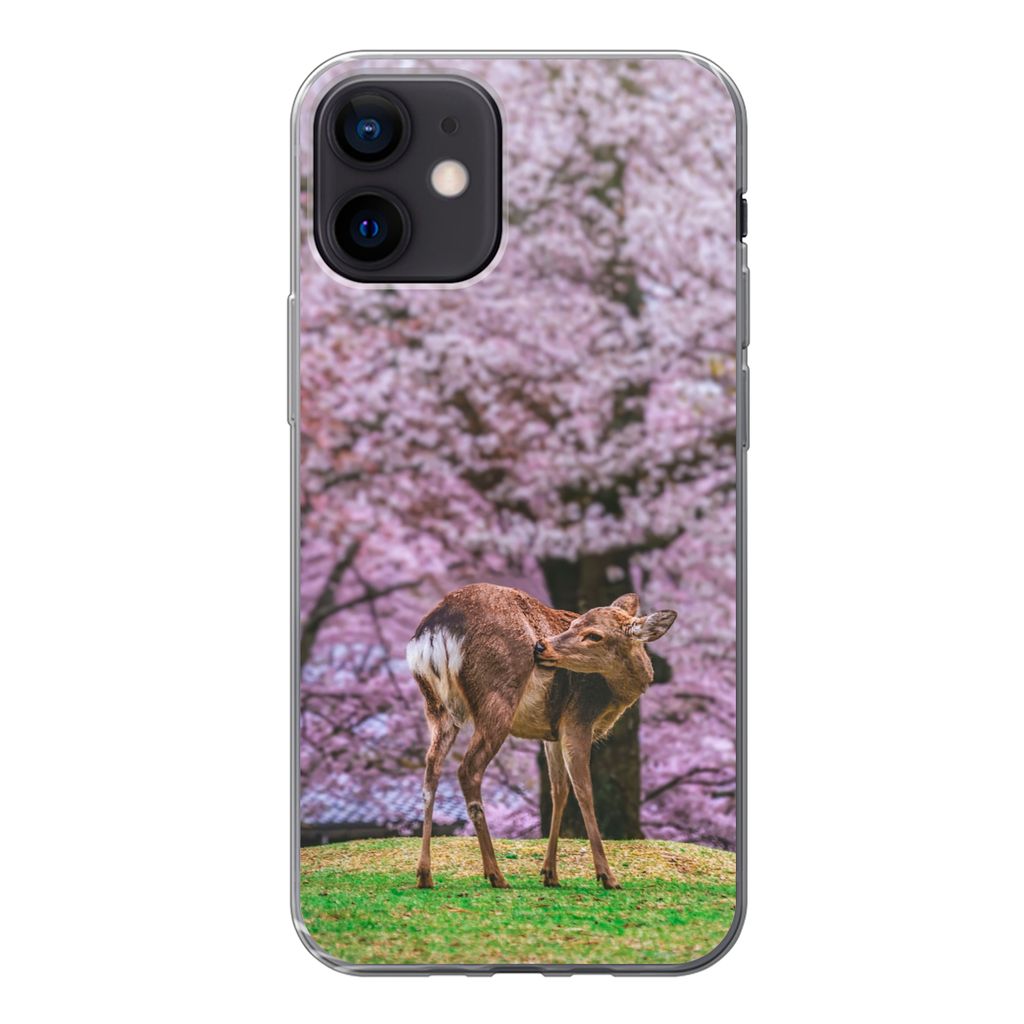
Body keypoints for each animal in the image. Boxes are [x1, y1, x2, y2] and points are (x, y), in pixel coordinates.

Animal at [405, 582, 677, 891]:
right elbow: (584, 791)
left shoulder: (552, 733)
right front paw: (607, 876)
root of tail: (435, 630)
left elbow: (559, 791)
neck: (614, 696)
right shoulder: (578, 717)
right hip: (498, 698)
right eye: (574, 625)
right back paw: (496, 874)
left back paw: (425, 874)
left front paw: (550, 873)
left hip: (437, 707)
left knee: (431, 770)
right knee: (468, 769)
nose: (541, 645)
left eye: (594, 634)